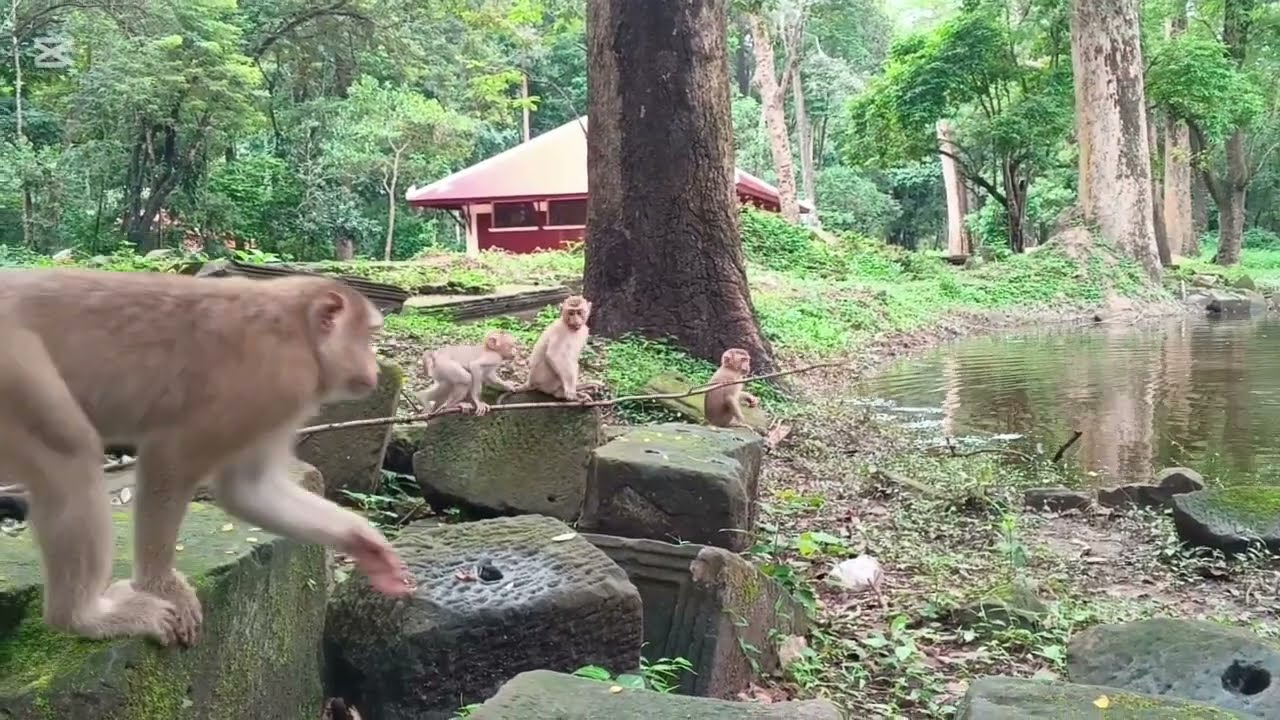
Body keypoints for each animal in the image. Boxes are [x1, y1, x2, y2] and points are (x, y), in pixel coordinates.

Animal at [0, 268, 414, 648]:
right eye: (369, 336)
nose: (374, 369)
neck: (299, 332)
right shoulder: (274, 379)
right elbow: (171, 458)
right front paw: (161, 586)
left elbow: (248, 490)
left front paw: (368, 546)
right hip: (13, 365)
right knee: (69, 450)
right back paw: (81, 618)